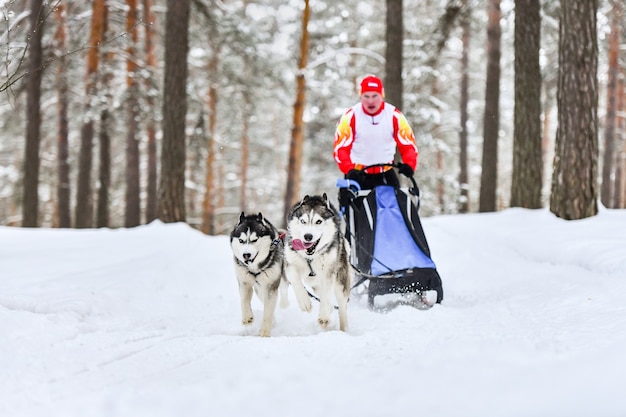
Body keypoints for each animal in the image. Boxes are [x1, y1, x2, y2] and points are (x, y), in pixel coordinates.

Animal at [282, 193, 352, 332]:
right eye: (303, 221)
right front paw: (304, 302)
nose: (308, 236)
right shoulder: (290, 264)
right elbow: (295, 279)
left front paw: (324, 317)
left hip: (340, 282)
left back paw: (343, 328)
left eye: (318, 221)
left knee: (341, 306)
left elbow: (326, 295)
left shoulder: (329, 273)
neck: (310, 257)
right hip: (314, 283)